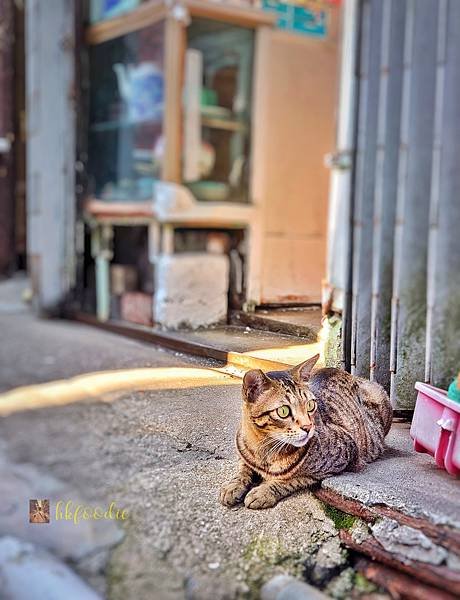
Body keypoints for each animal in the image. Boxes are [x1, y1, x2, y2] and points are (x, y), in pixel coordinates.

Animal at [220, 354, 392, 508]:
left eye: (310, 405)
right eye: (283, 411)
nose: (308, 427)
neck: (264, 449)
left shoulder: (342, 456)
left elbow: (292, 479)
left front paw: (264, 491)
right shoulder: (243, 453)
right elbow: (242, 469)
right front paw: (232, 486)